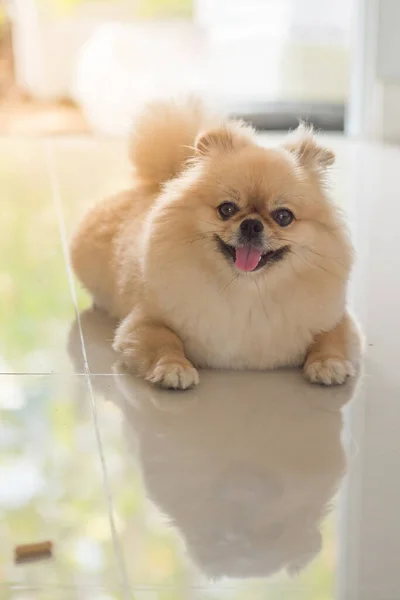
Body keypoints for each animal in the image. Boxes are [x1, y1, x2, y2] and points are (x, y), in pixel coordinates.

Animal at [70, 98, 360, 390]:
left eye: (283, 216)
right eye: (227, 209)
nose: (252, 224)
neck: (248, 292)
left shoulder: (337, 320)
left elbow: (331, 339)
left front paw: (328, 364)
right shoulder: (145, 321)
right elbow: (166, 342)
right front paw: (174, 368)